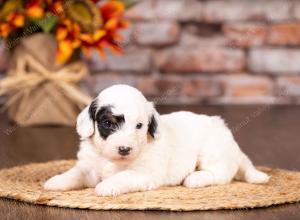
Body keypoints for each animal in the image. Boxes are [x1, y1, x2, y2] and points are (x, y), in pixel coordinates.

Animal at [44, 84, 270, 196]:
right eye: (108, 123)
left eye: (139, 126)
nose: (124, 149)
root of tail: (229, 137)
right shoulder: (90, 166)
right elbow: (76, 173)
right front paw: (57, 181)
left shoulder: (145, 173)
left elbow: (124, 176)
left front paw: (107, 186)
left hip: (212, 152)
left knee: (221, 174)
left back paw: (195, 178)